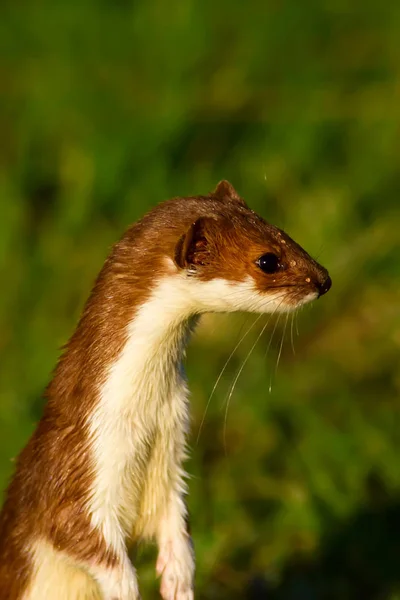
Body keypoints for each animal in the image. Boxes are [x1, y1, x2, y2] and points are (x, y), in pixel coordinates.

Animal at [0, 180, 332, 596]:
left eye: (284, 233)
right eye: (268, 260)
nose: (324, 279)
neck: (146, 414)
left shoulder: (171, 451)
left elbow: (176, 522)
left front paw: (178, 577)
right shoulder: (79, 465)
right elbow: (77, 534)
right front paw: (126, 588)